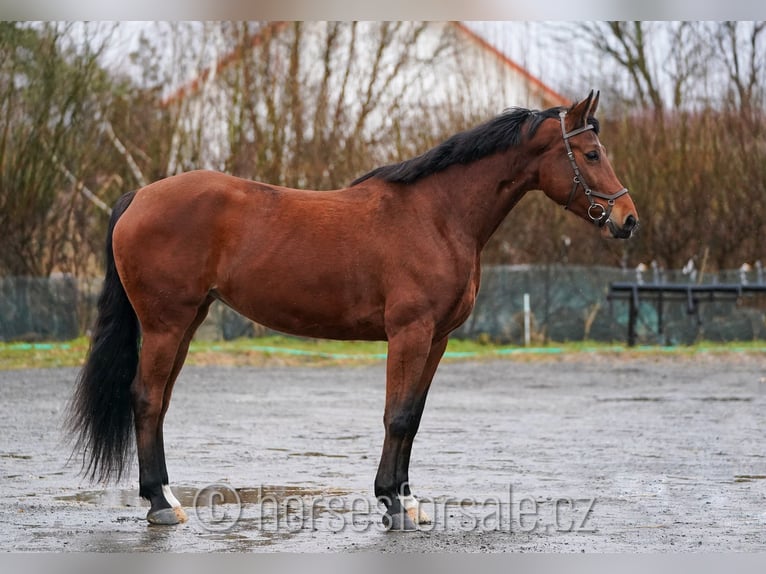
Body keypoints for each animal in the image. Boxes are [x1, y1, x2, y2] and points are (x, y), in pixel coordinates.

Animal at [69, 90, 640, 532]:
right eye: (591, 153)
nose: (628, 220)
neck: (437, 215)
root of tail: (140, 195)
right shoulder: (410, 333)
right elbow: (397, 415)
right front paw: (392, 503)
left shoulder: (437, 339)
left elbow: (414, 417)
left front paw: (408, 499)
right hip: (165, 325)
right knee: (146, 399)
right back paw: (160, 504)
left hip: (187, 323)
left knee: (160, 401)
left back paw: (164, 496)